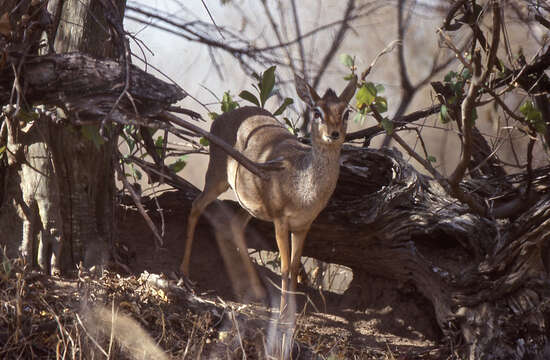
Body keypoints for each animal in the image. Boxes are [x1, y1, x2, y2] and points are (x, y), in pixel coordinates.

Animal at [181, 74, 358, 320]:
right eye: (317, 111)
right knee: (197, 206)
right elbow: (284, 268)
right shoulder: (280, 221)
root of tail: (223, 116)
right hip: (216, 178)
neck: (304, 190)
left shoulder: (303, 226)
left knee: (234, 224)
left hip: (248, 204)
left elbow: (294, 265)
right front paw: (283, 312)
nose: (334, 133)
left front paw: (293, 310)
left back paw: (256, 292)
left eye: (345, 112)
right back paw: (185, 275)